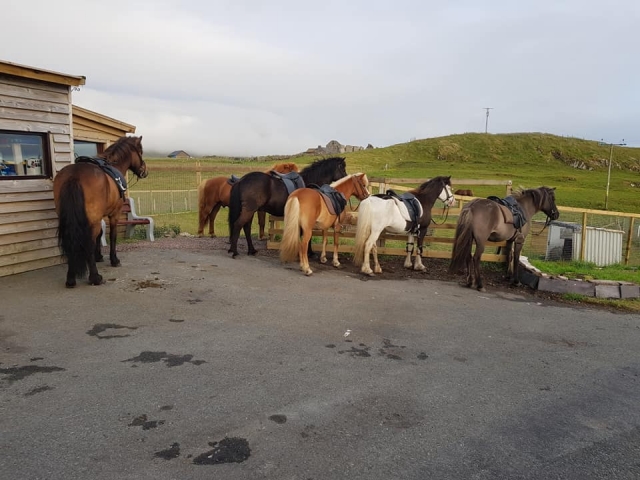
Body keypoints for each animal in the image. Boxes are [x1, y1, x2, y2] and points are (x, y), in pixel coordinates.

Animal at [53, 136, 147, 287]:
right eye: (141, 151)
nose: (144, 170)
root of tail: (74, 175)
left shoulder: (99, 216)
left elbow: (101, 234)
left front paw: (99, 256)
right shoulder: (114, 214)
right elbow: (112, 235)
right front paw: (114, 260)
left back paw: (71, 278)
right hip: (92, 222)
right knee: (89, 244)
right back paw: (95, 277)